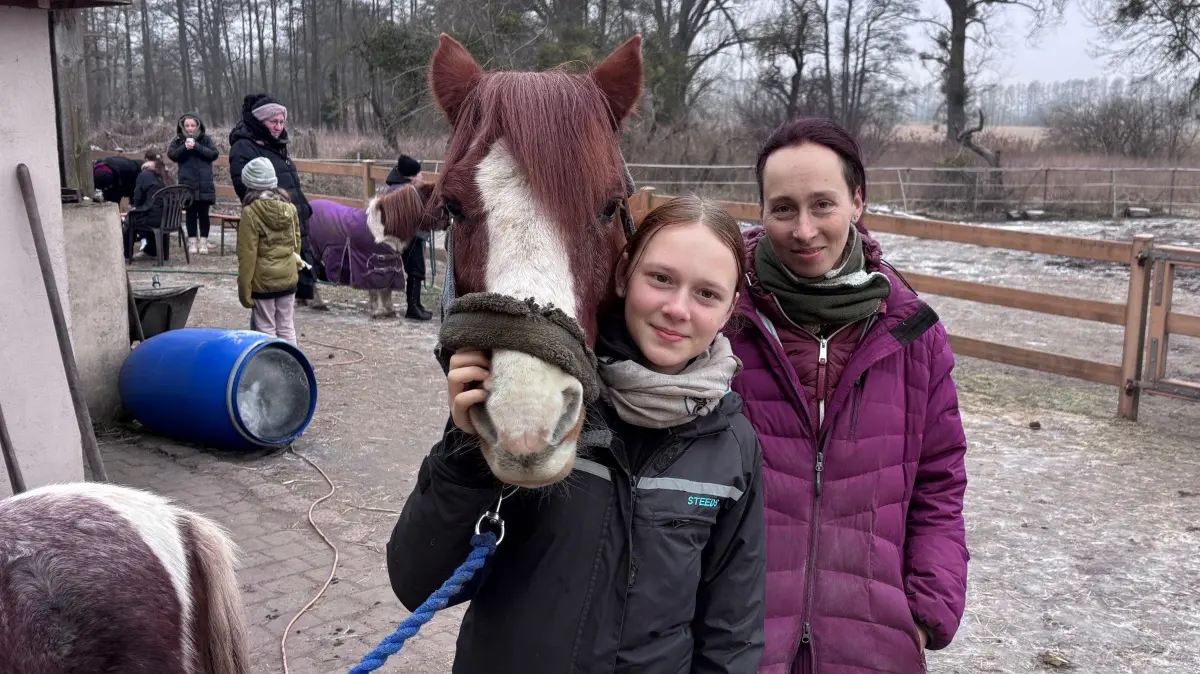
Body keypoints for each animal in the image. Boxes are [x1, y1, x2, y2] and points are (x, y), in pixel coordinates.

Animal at [309, 183, 432, 319]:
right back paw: (318, 303)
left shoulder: (387, 263)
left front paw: (388, 310)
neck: (381, 229)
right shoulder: (372, 264)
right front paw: (379, 311)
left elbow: (386, 289)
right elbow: (377, 288)